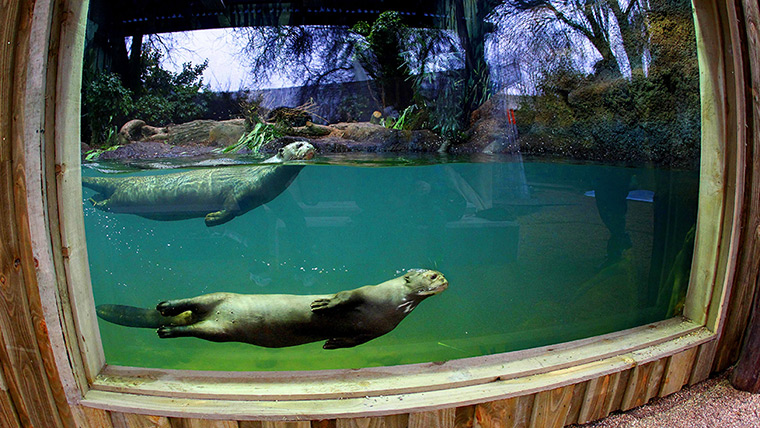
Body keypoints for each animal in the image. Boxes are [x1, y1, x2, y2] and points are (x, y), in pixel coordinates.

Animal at [82, 141, 315, 227]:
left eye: (307, 142)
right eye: (299, 144)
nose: (312, 146)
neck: (260, 172)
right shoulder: (239, 192)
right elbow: (229, 209)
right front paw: (210, 219)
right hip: (124, 195)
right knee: (109, 202)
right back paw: (94, 202)